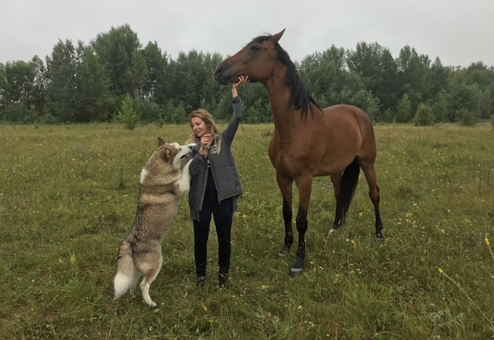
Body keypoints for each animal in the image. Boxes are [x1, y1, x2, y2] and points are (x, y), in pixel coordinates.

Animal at [114, 137, 195, 308]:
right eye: (179, 149)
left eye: (180, 145)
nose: (192, 147)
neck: (158, 171)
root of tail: (129, 242)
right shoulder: (181, 188)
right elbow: (185, 170)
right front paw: (193, 160)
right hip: (155, 264)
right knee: (144, 285)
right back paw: (150, 303)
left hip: (137, 270)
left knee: (133, 283)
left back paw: (134, 297)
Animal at [214, 30, 384, 278]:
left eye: (254, 48)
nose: (219, 70)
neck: (295, 127)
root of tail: (359, 114)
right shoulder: (282, 177)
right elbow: (286, 212)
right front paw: (285, 247)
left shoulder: (304, 179)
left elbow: (301, 219)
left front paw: (298, 260)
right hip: (336, 170)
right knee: (340, 195)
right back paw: (335, 229)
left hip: (367, 162)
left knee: (374, 194)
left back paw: (379, 233)